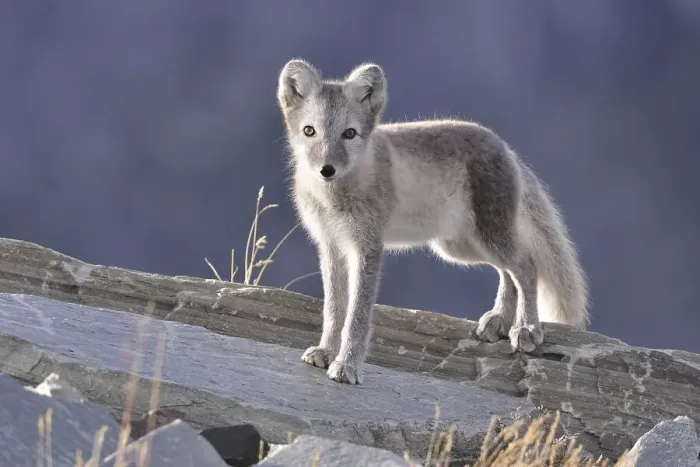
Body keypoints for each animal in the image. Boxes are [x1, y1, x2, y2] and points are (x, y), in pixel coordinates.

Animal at [276, 59, 590, 385]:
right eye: (309, 131)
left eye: (349, 133)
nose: (327, 170)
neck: (333, 199)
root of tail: (505, 146)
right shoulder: (331, 246)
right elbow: (334, 309)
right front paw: (326, 352)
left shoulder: (368, 247)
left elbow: (357, 316)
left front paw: (348, 366)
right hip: (461, 247)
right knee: (509, 273)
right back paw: (499, 321)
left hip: (486, 238)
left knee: (527, 266)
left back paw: (526, 329)